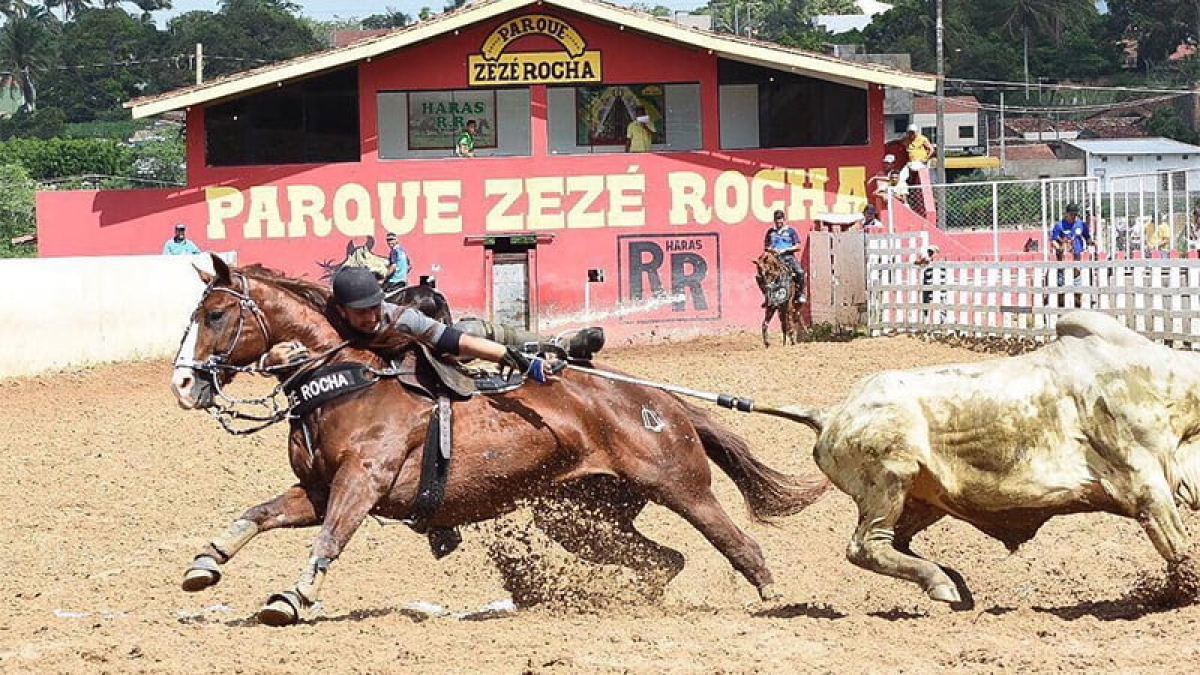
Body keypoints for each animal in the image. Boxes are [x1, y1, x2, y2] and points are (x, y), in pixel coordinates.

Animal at [169, 253, 830, 624]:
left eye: (216, 315)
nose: (183, 383)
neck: (349, 378)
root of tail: (663, 402)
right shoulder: (317, 487)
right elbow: (257, 515)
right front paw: (205, 564)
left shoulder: (362, 481)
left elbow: (329, 539)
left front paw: (292, 598)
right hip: (579, 517)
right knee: (664, 559)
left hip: (683, 488)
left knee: (742, 547)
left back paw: (776, 602)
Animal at [777, 309, 1200, 605]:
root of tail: (830, 414)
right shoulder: (1142, 481)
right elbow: (1176, 543)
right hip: (889, 480)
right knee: (866, 545)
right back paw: (943, 584)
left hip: (923, 499)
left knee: (894, 543)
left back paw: (953, 582)